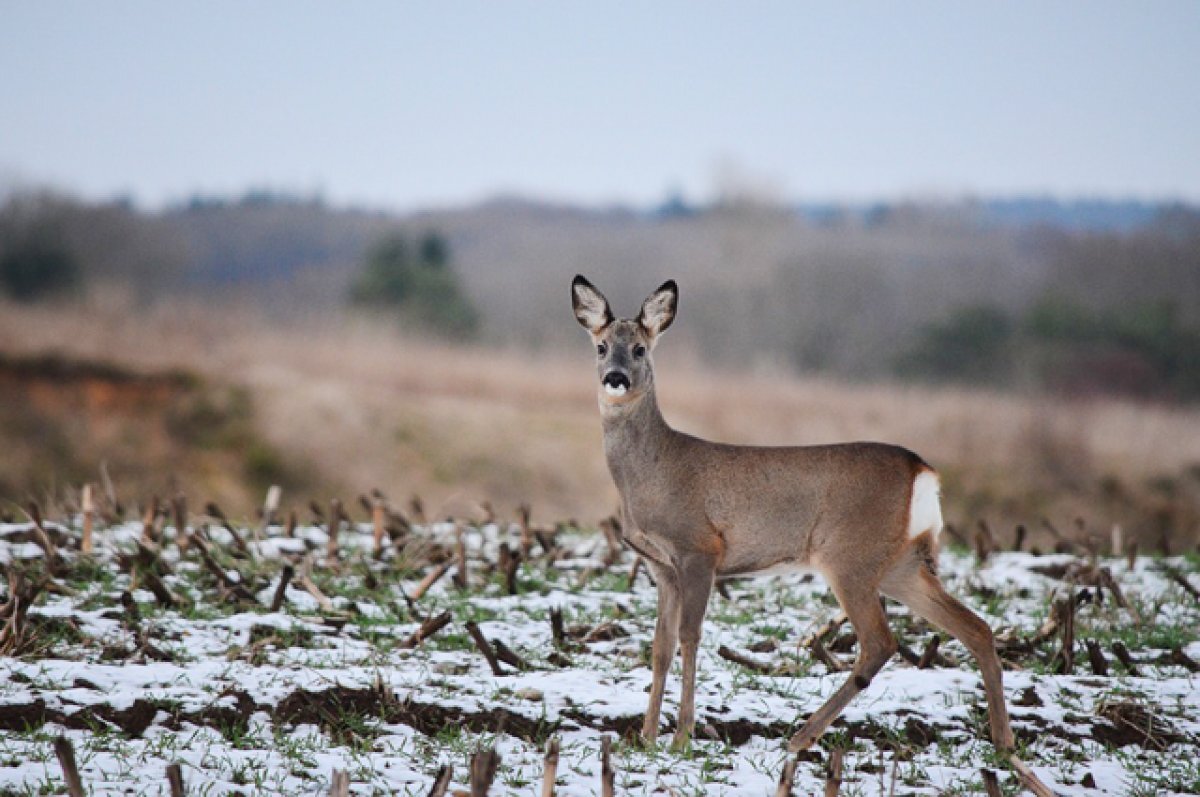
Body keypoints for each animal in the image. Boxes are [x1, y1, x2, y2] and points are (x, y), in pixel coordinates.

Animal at [568, 277, 1051, 792]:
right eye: (601, 346)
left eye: (640, 348)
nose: (615, 378)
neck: (653, 473)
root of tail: (923, 470)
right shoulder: (661, 566)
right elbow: (659, 647)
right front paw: (644, 736)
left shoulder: (700, 549)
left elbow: (689, 637)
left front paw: (680, 738)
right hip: (900, 564)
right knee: (976, 627)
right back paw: (1005, 745)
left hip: (849, 556)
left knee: (880, 641)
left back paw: (801, 737)